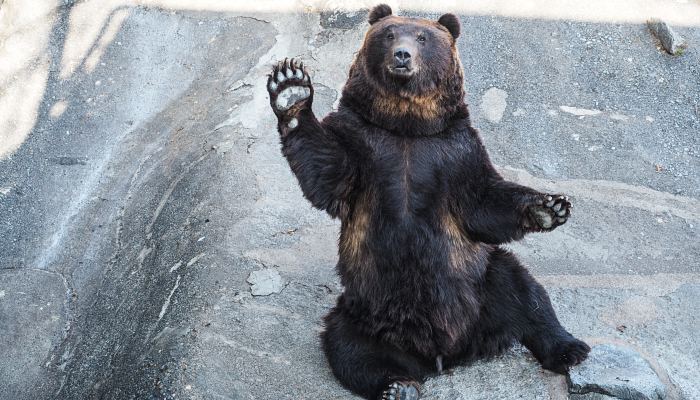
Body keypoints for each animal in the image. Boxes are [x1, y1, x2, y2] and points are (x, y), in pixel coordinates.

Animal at [266, 3, 588, 400]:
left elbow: (484, 203)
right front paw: (291, 89)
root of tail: (444, 354)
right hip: (363, 312)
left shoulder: (455, 153)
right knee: (349, 348)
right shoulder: (362, 143)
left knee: (523, 291)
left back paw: (569, 348)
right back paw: (397, 385)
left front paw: (549, 207)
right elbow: (327, 170)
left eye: (422, 37)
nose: (402, 55)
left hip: (480, 284)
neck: (407, 127)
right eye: (389, 34)